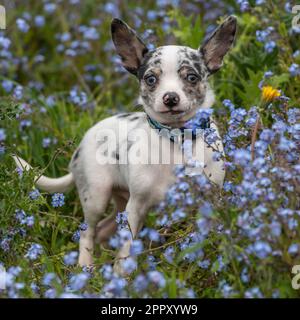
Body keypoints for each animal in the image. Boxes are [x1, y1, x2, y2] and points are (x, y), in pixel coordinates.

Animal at [14, 16, 237, 274]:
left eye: (191, 77)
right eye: (151, 79)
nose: (170, 98)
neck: (177, 139)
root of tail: (80, 146)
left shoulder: (209, 200)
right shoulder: (136, 208)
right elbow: (126, 250)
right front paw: (122, 277)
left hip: (120, 204)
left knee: (102, 230)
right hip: (97, 198)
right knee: (87, 233)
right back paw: (85, 267)